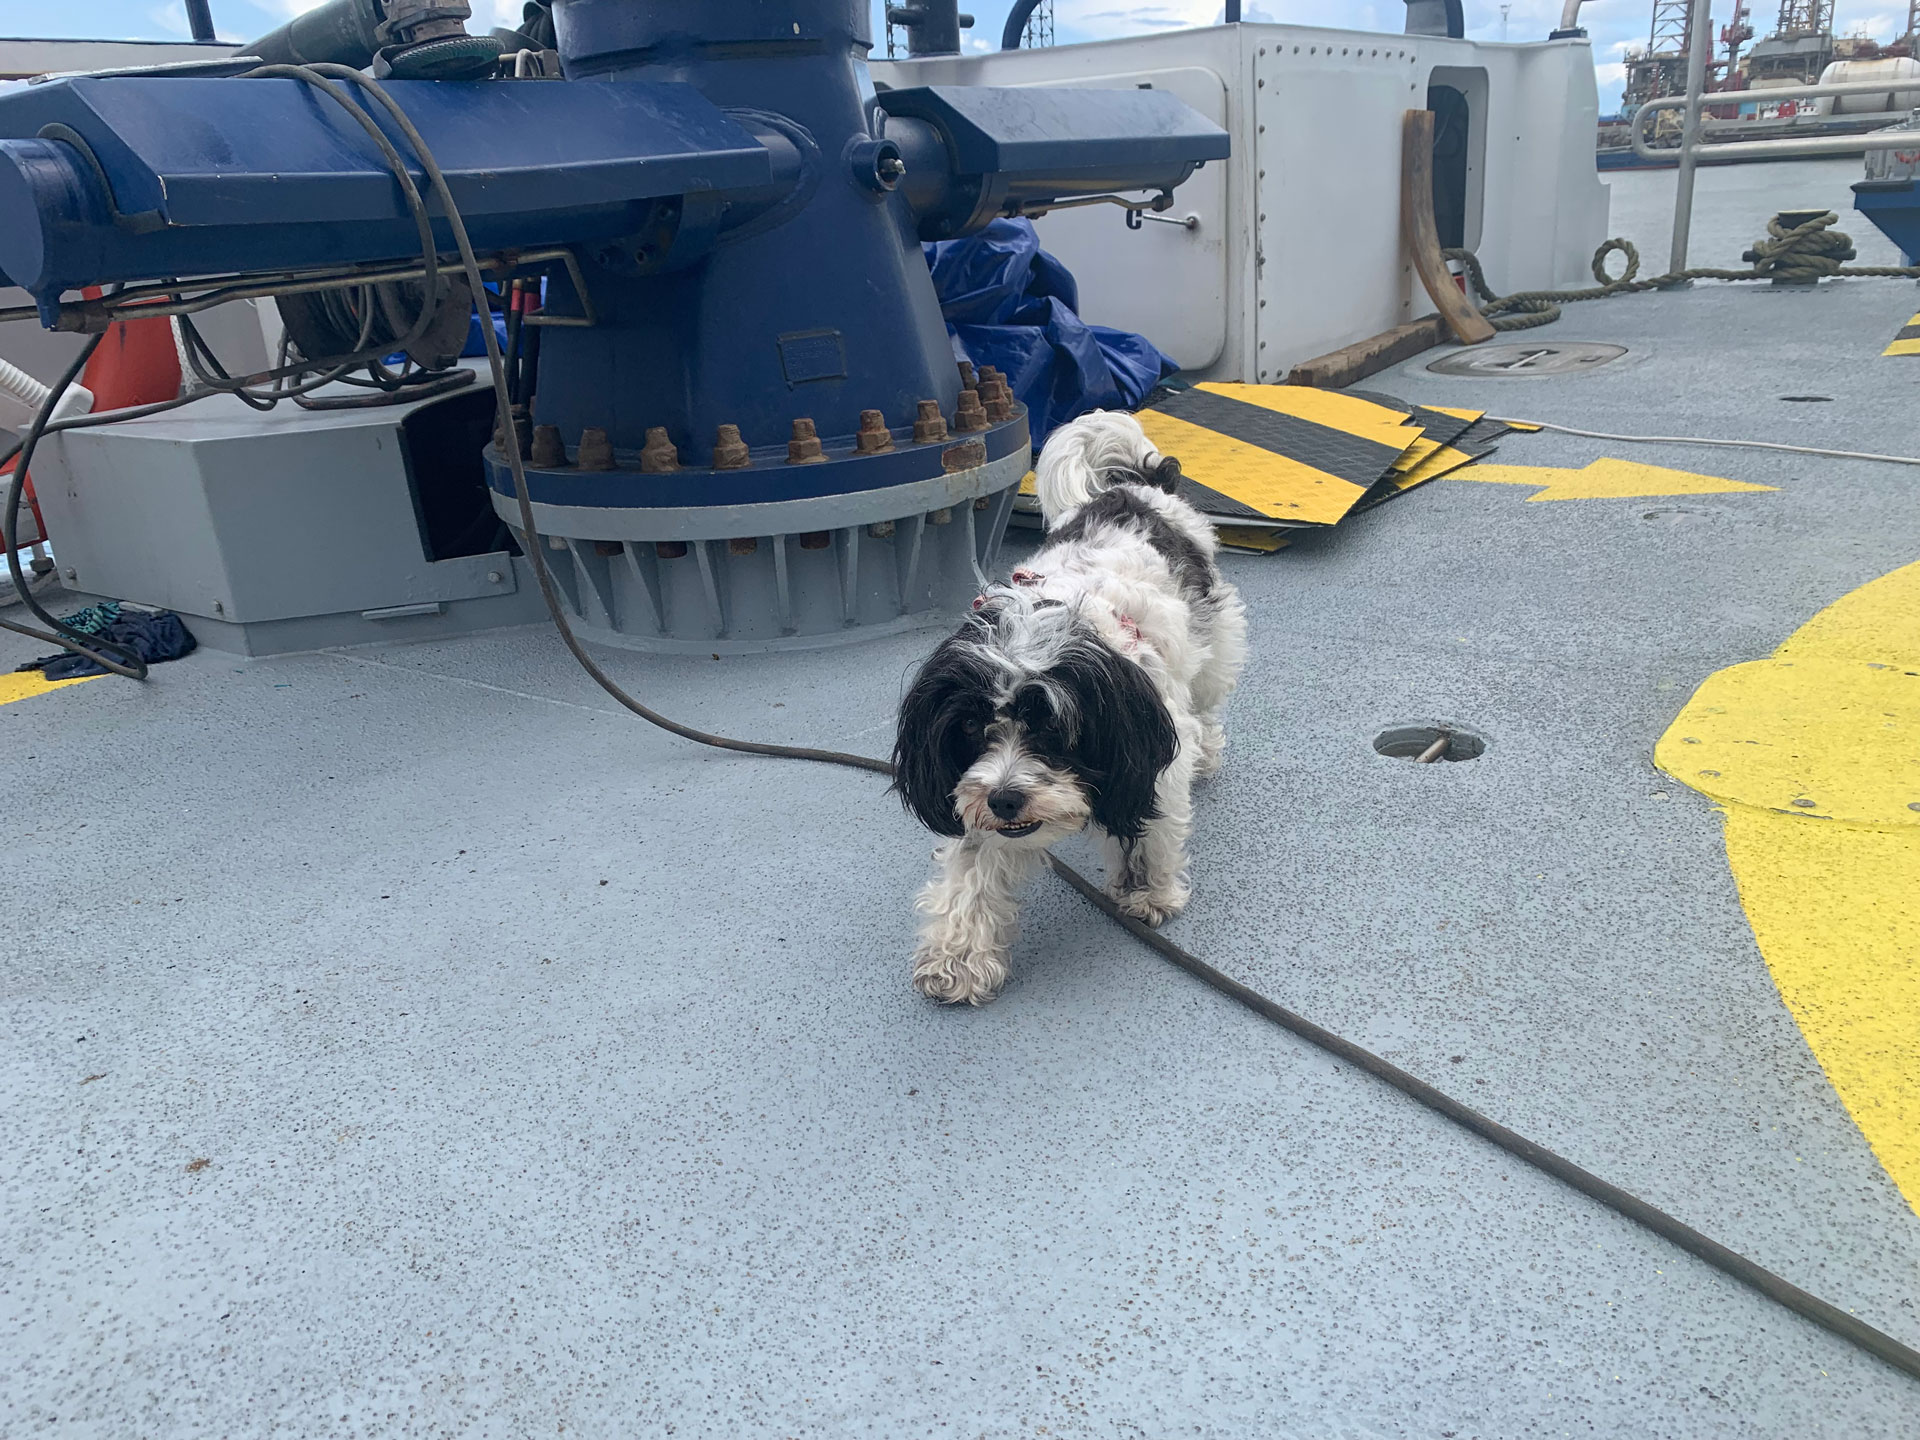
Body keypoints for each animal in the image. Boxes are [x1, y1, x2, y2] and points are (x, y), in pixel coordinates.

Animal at [887, 410, 1244, 1006]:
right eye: (969, 726)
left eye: (1053, 728)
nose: (1006, 799)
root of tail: (1136, 486)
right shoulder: (975, 799)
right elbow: (969, 872)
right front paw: (957, 957)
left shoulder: (1150, 755)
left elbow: (1150, 829)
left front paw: (1146, 891)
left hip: (1213, 636)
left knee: (1209, 701)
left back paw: (1209, 754)